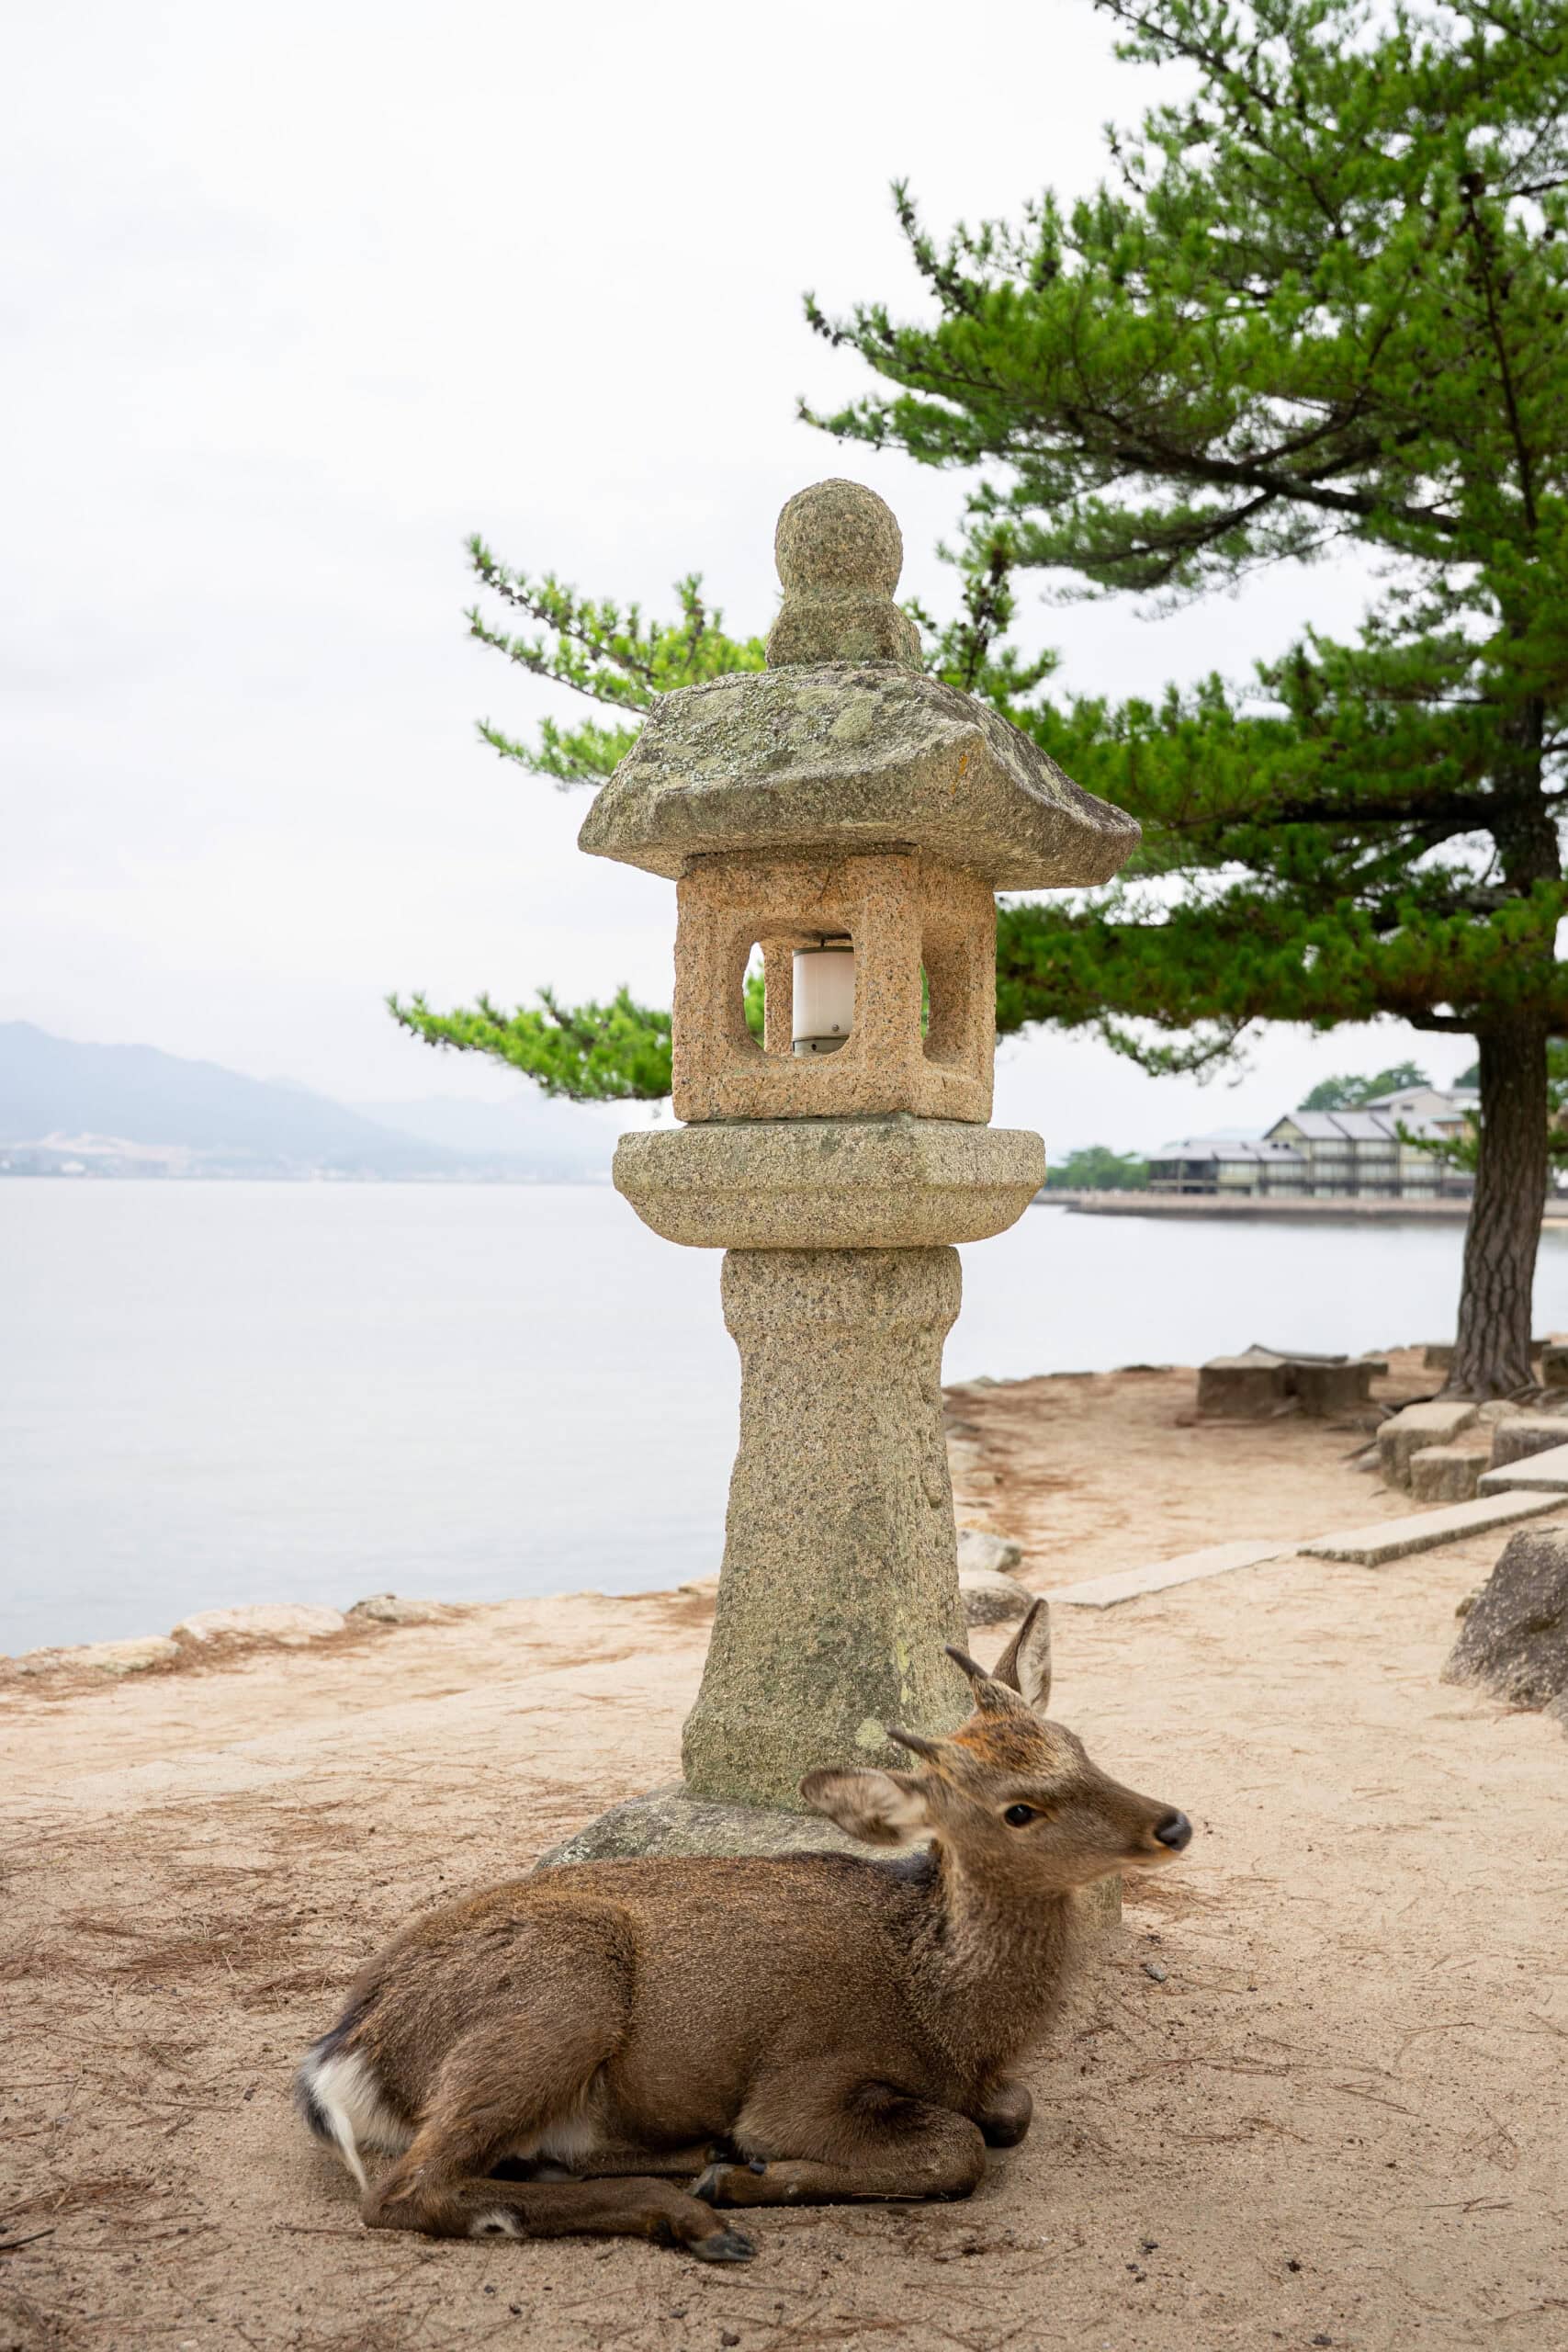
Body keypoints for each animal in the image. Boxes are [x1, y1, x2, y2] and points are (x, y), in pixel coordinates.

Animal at [294, 1600, 1192, 2263]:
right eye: (1017, 1810)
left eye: (1077, 1745)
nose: (1172, 1823)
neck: (951, 2019)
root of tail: (341, 2060)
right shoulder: (807, 2077)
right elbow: (958, 2146)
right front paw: (744, 2173)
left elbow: (1012, 2110)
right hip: (560, 1992)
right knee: (406, 2191)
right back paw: (696, 2211)